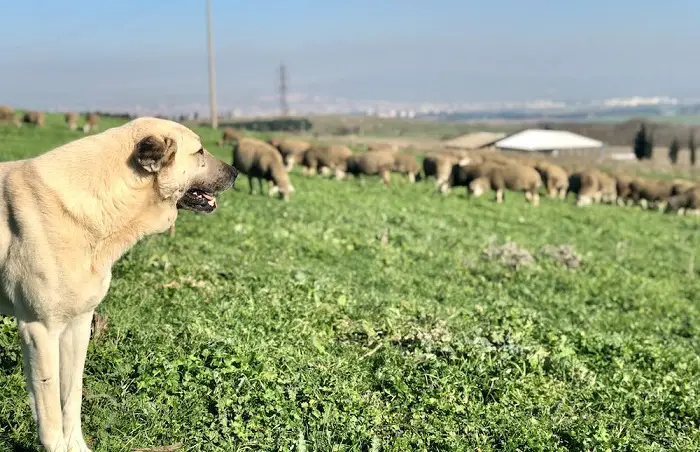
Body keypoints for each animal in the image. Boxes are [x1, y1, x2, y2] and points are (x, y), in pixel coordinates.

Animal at [0, 117, 238, 452]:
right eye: (200, 151)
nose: (236, 172)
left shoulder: (77, 326)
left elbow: (71, 398)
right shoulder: (40, 331)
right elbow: (50, 416)